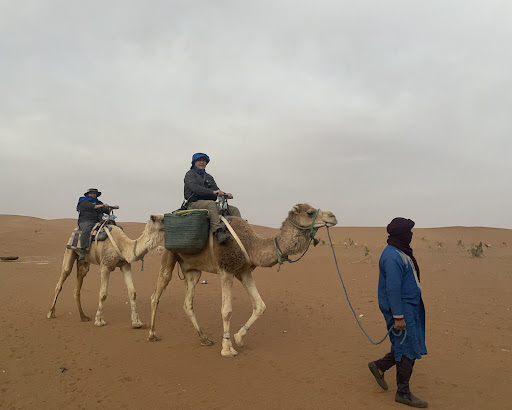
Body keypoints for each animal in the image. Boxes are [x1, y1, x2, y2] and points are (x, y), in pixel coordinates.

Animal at [148, 204, 337, 357]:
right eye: (310, 212)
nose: (333, 216)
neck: (251, 245)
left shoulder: (244, 272)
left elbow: (260, 305)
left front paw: (238, 338)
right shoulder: (226, 271)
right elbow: (227, 311)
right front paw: (227, 348)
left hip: (192, 269)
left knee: (187, 303)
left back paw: (204, 338)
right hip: (169, 255)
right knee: (156, 295)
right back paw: (152, 334)